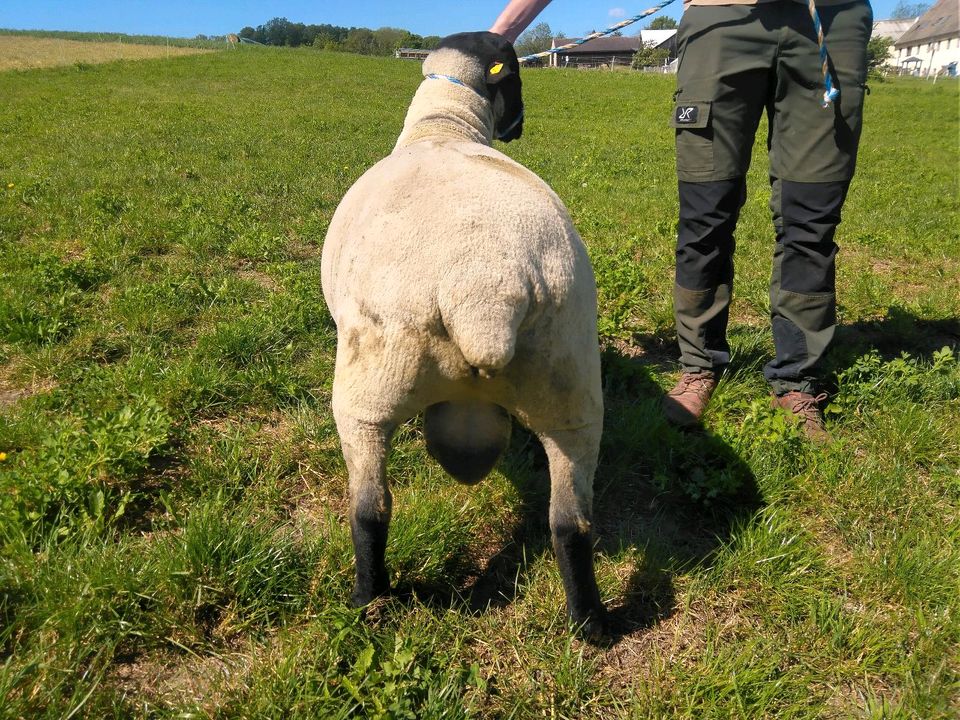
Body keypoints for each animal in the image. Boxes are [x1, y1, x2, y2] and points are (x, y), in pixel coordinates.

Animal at [322, 32, 608, 636]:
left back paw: (366, 599)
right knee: (571, 524)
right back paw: (589, 624)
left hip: (366, 393)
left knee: (370, 509)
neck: (443, 128)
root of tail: (483, 294)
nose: (521, 123)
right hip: (571, 392)